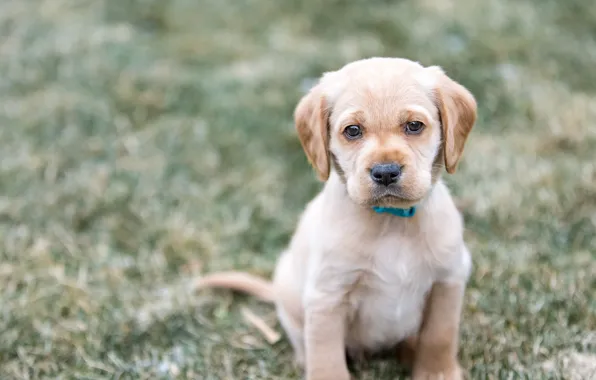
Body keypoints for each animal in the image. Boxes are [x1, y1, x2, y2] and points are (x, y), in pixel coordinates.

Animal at [198, 57, 478, 380]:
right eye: (353, 130)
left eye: (414, 126)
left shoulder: (448, 279)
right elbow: (326, 356)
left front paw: (438, 372)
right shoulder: (326, 296)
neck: (391, 220)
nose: (385, 172)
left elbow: (439, 336)